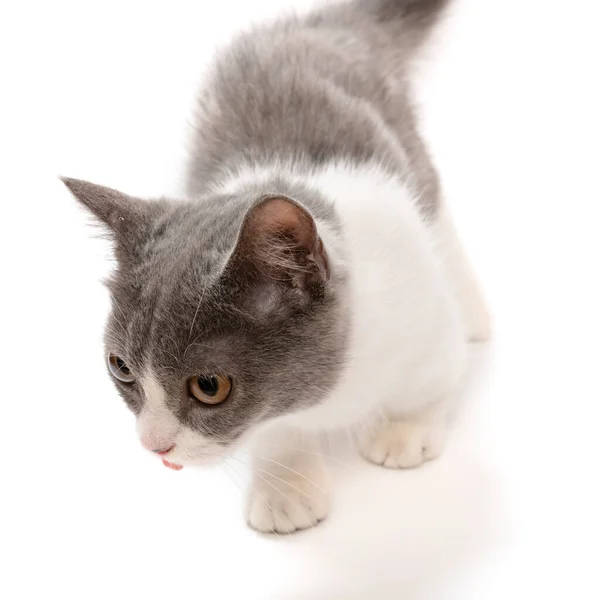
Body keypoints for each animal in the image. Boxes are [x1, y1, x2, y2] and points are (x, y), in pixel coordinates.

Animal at [63, 0, 490, 536]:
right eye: (120, 368)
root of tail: (313, 25)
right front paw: (287, 487)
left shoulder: (418, 306)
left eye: (209, 386)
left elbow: (433, 379)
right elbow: (272, 431)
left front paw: (402, 431)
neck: (330, 391)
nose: (154, 445)